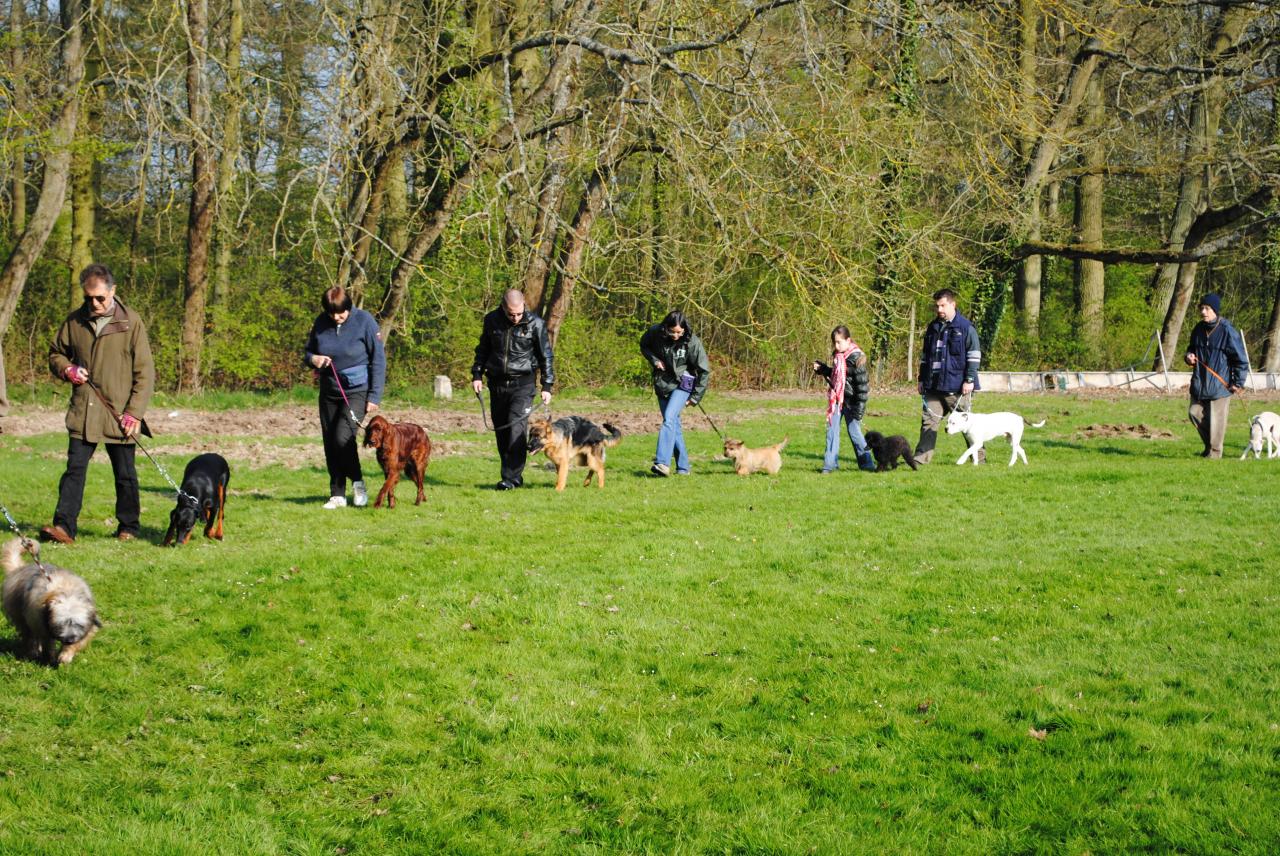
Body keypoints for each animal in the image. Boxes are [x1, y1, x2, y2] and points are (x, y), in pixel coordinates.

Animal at [3, 534, 99, 665]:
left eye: (77, 624)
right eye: (60, 624)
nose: (68, 640)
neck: (67, 592)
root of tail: (19, 569)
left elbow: (80, 639)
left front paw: (66, 655)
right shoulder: (40, 622)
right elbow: (48, 643)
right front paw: (51, 658)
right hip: (20, 615)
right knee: (29, 635)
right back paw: (33, 651)